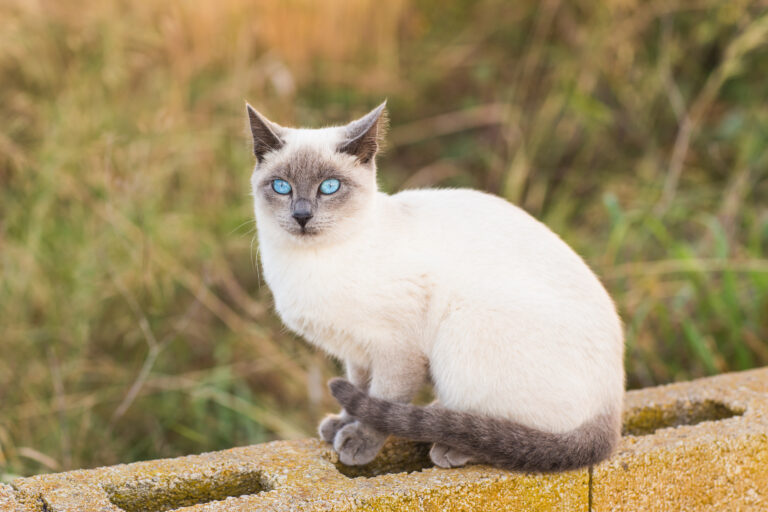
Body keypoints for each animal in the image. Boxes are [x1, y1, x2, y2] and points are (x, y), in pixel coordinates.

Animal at [246, 101, 624, 472]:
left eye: (329, 187)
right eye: (281, 186)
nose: (301, 216)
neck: (310, 262)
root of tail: (613, 407)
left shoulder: (396, 349)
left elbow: (381, 399)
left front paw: (358, 441)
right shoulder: (357, 350)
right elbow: (360, 390)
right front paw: (341, 424)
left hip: (464, 328)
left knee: (510, 432)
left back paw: (450, 445)